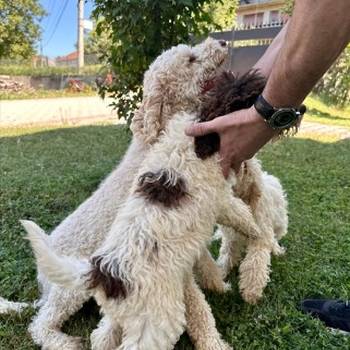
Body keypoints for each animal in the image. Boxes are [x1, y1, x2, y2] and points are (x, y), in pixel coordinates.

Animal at [26, 109, 262, 350]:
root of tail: (101, 273)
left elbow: (206, 265)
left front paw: (220, 285)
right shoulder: (219, 198)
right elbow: (241, 215)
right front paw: (257, 234)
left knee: (101, 335)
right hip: (144, 316)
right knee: (42, 324)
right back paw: (63, 341)